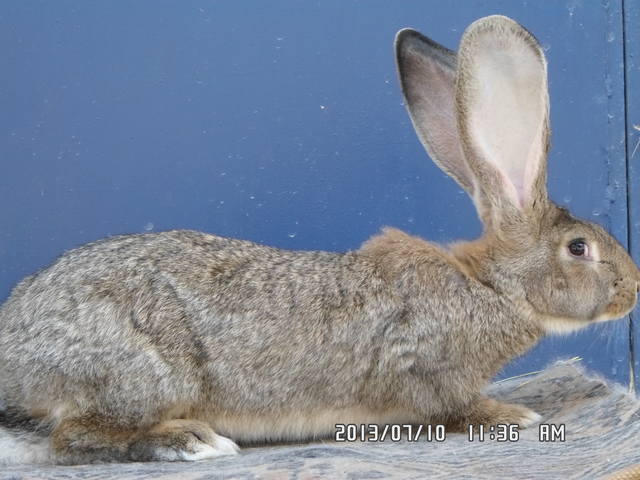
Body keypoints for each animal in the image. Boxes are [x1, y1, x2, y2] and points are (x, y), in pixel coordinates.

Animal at [1, 15, 640, 464]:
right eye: (579, 248)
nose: (632, 290)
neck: (490, 285)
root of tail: (16, 361)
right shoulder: (430, 370)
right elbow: (457, 406)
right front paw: (513, 414)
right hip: (141, 375)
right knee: (74, 439)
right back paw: (188, 442)